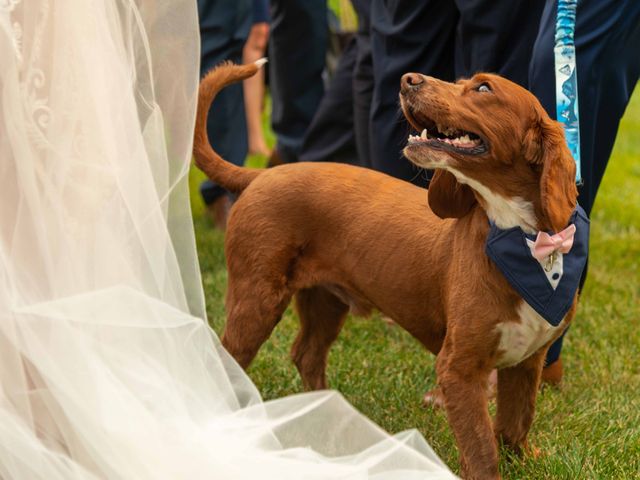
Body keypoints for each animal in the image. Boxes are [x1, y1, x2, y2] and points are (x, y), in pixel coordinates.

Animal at [192, 62, 584, 478]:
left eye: (482, 88)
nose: (408, 79)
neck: (522, 239)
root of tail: (260, 175)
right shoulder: (459, 368)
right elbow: (481, 448)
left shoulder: (528, 361)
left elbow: (515, 422)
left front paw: (524, 458)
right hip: (257, 297)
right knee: (228, 358)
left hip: (325, 300)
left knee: (306, 353)